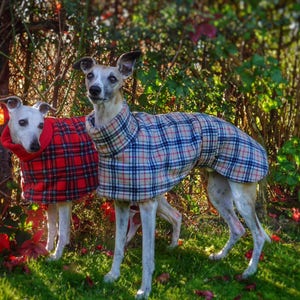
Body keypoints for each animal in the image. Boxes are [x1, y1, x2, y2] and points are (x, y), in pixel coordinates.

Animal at [0, 96, 182, 260]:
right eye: (22, 122)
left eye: (41, 125)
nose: (35, 146)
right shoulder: (50, 196)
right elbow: (52, 229)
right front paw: (46, 250)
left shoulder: (64, 197)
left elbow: (62, 232)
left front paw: (56, 256)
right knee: (137, 220)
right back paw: (126, 243)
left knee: (176, 215)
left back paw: (173, 246)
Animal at [74, 50, 270, 298]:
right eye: (90, 75)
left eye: (112, 78)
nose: (94, 90)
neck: (123, 137)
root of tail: (258, 145)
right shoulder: (121, 202)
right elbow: (118, 245)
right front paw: (113, 275)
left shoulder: (147, 205)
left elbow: (147, 256)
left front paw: (144, 290)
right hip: (217, 193)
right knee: (237, 228)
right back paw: (219, 256)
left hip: (242, 196)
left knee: (258, 234)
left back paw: (249, 271)